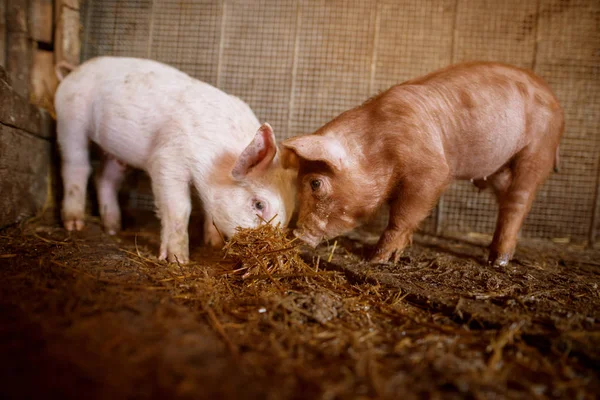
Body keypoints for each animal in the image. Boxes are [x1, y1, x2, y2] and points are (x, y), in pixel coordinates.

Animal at [55, 56, 296, 262]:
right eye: (259, 205)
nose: (275, 258)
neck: (217, 160)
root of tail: (74, 70)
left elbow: (208, 210)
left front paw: (213, 244)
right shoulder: (167, 159)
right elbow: (180, 208)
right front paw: (178, 260)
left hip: (117, 151)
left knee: (104, 178)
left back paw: (114, 228)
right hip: (70, 118)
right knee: (76, 166)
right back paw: (75, 224)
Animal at [282, 61, 564, 266]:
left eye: (315, 183)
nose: (295, 235)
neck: (378, 147)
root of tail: (553, 96)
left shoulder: (430, 171)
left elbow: (403, 214)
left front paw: (376, 259)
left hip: (538, 148)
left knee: (519, 201)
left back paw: (498, 262)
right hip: (498, 167)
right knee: (506, 201)